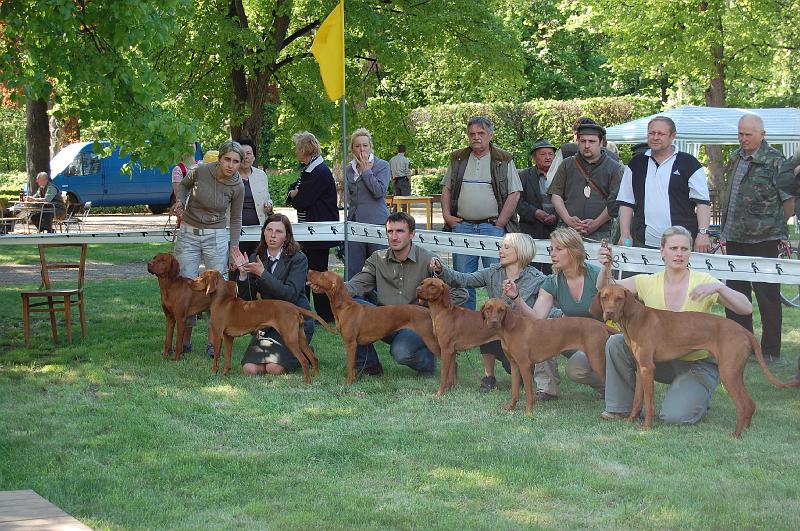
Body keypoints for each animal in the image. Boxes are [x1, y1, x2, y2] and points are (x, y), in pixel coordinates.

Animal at [191, 270, 334, 382]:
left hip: (290, 339)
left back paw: (308, 382)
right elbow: (227, 358)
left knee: (303, 360)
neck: (221, 300)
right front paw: (225, 373)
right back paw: (316, 378)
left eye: (202, 277)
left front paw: (214, 373)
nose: (190, 282)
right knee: (313, 358)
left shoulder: (218, 335)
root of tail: (294, 307)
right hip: (300, 338)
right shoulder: (228, 337)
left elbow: (216, 358)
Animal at [308, 272, 444, 384]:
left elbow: (350, 366)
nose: (309, 271)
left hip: (430, 340)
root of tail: (428, 311)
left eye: (323, 274)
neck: (345, 307)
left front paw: (349, 383)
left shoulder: (350, 343)